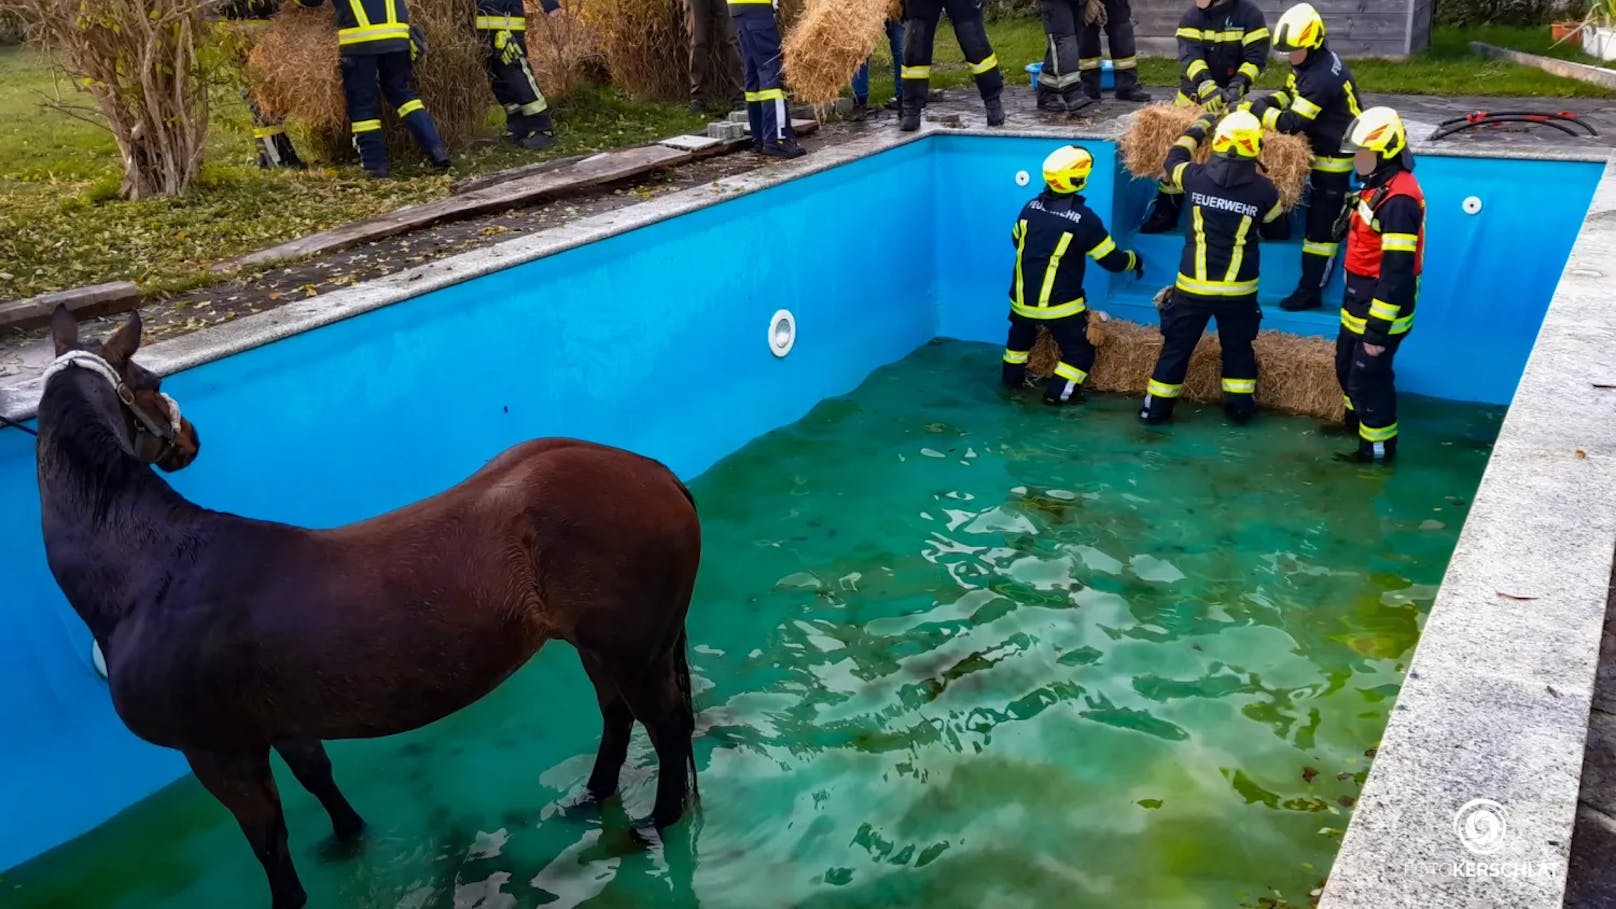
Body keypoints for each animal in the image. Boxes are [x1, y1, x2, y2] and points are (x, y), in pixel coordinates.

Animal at [36, 305, 701, 905]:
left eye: (151, 380)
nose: (190, 438)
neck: (152, 574)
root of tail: (656, 472)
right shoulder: (279, 724)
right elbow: (317, 779)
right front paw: (349, 839)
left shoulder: (222, 754)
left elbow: (269, 844)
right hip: (599, 647)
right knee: (618, 716)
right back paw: (591, 798)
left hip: (633, 651)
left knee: (667, 726)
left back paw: (656, 823)